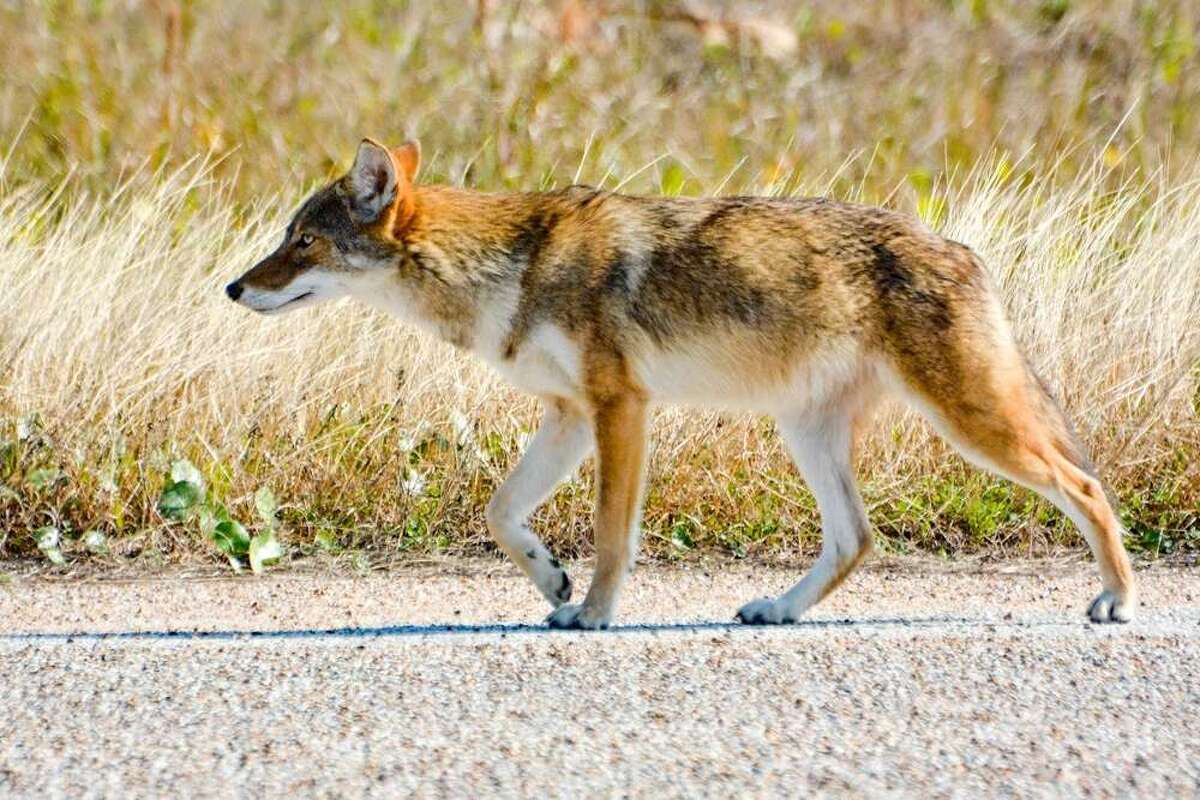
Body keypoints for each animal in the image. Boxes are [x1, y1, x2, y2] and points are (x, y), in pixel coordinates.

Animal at [226, 139, 1136, 629]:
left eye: (303, 242)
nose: (233, 289)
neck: (507, 269)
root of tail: (963, 250)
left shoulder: (618, 408)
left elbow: (610, 535)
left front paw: (592, 613)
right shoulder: (567, 414)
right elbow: (501, 512)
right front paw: (552, 582)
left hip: (975, 427)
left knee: (1088, 487)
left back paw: (1117, 600)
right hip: (810, 433)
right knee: (856, 538)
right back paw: (776, 610)